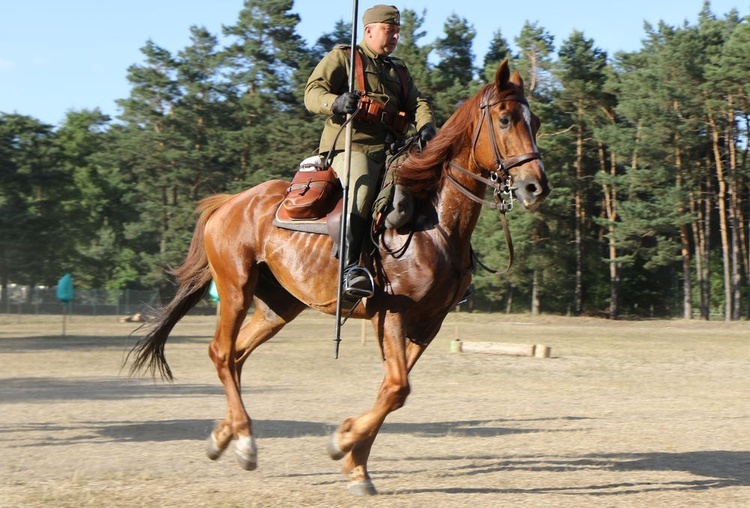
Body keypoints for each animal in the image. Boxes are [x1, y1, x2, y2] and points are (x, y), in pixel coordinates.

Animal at [128, 60, 552, 496]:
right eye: (504, 119)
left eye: (534, 121)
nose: (536, 186)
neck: (434, 220)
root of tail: (229, 203)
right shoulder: (393, 314)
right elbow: (397, 387)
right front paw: (342, 441)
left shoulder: (429, 324)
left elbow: (391, 390)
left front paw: (356, 464)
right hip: (235, 289)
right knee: (221, 352)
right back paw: (244, 440)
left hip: (279, 307)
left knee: (238, 355)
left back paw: (221, 436)